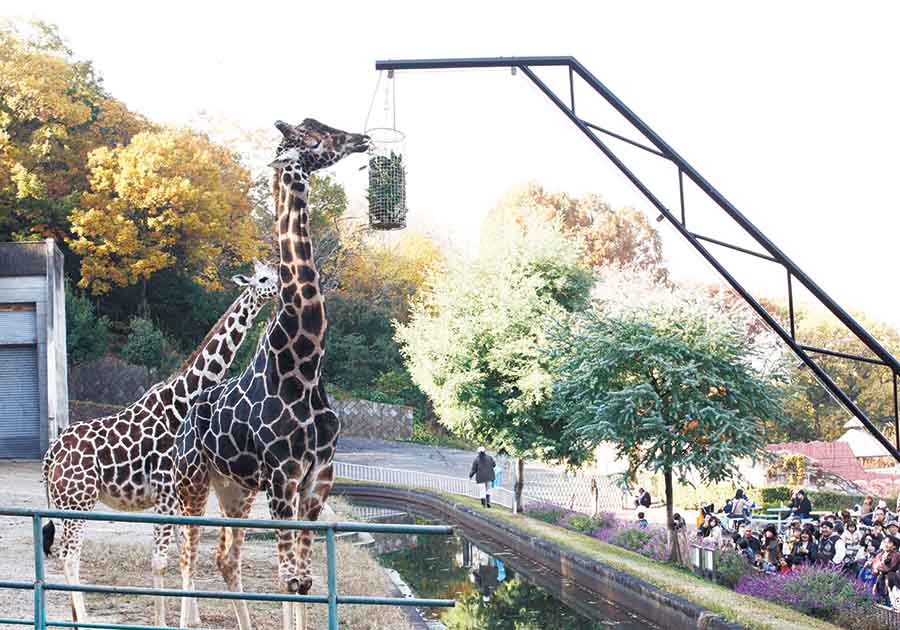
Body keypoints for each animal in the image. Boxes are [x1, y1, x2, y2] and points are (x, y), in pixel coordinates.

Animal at [41, 260, 278, 628]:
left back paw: (75, 617)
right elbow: (161, 561)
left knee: (66, 554)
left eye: (277, 273)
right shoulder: (166, 494)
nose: (282, 289)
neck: (181, 402)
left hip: (66, 503)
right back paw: (84, 619)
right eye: (264, 278)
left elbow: (181, 553)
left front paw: (191, 619)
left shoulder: (176, 496)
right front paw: (166, 621)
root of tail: (51, 455)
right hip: (78, 501)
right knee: (69, 555)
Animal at [174, 118, 368, 630]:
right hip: (192, 480)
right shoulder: (283, 475)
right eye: (315, 140)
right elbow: (287, 579)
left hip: (234, 488)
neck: (303, 362)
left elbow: (303, 581)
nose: (362, 139)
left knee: (226, 558)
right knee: (187, 553)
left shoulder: (317, 477)